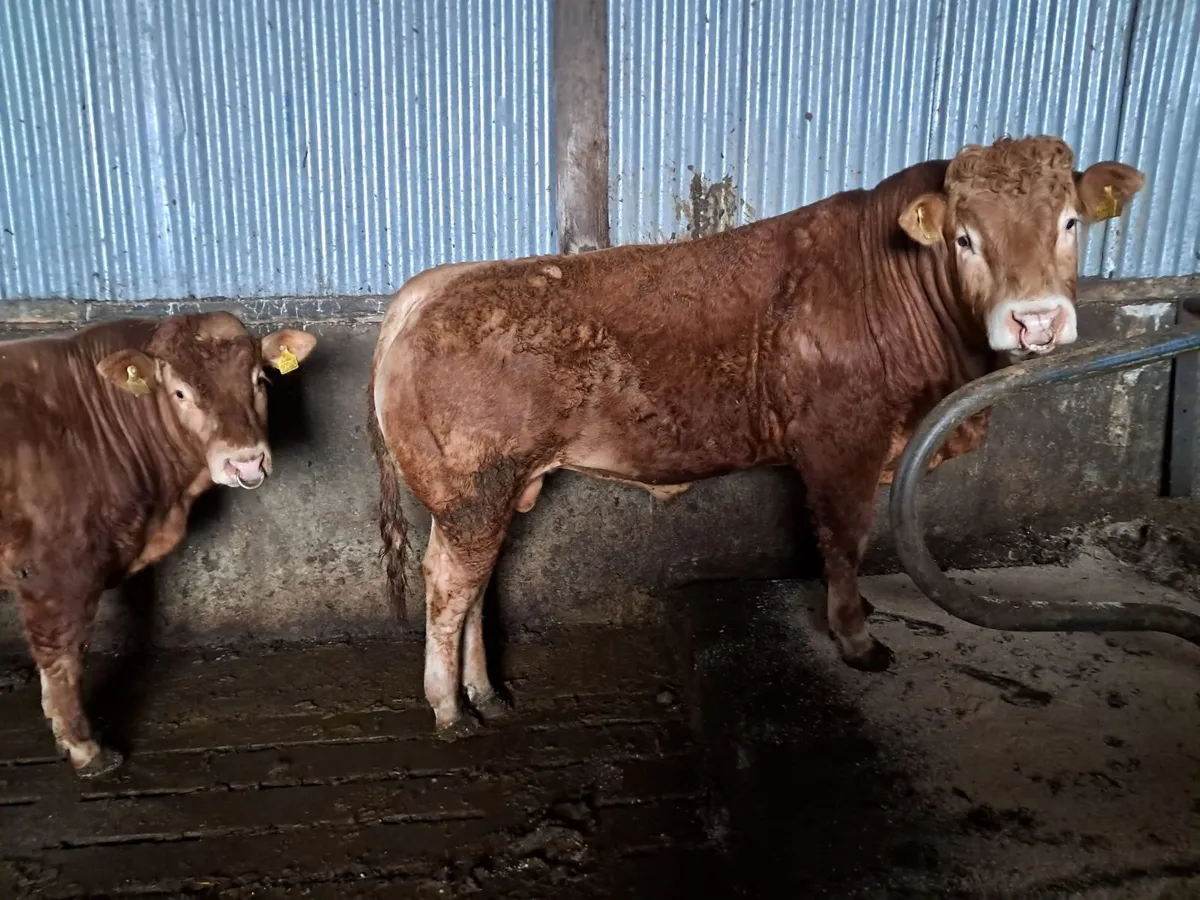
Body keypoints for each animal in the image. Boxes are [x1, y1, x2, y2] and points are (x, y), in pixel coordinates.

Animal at [0, 313, 317, 776]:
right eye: (180, 392)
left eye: (260, 380)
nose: (245, 461)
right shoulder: (56, 570)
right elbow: (63, 657)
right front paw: (85, 749)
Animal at [368, 135, 1144, 736]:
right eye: (965, 238)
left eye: (1071, 223)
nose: (1035, 320)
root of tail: (435, 286)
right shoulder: (842, 443)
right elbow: (844, 541)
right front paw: (856, 638)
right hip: (473, 487)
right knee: (450, 586)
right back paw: (450, 710)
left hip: (492, 492)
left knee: (474, 586)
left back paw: (487, 695)